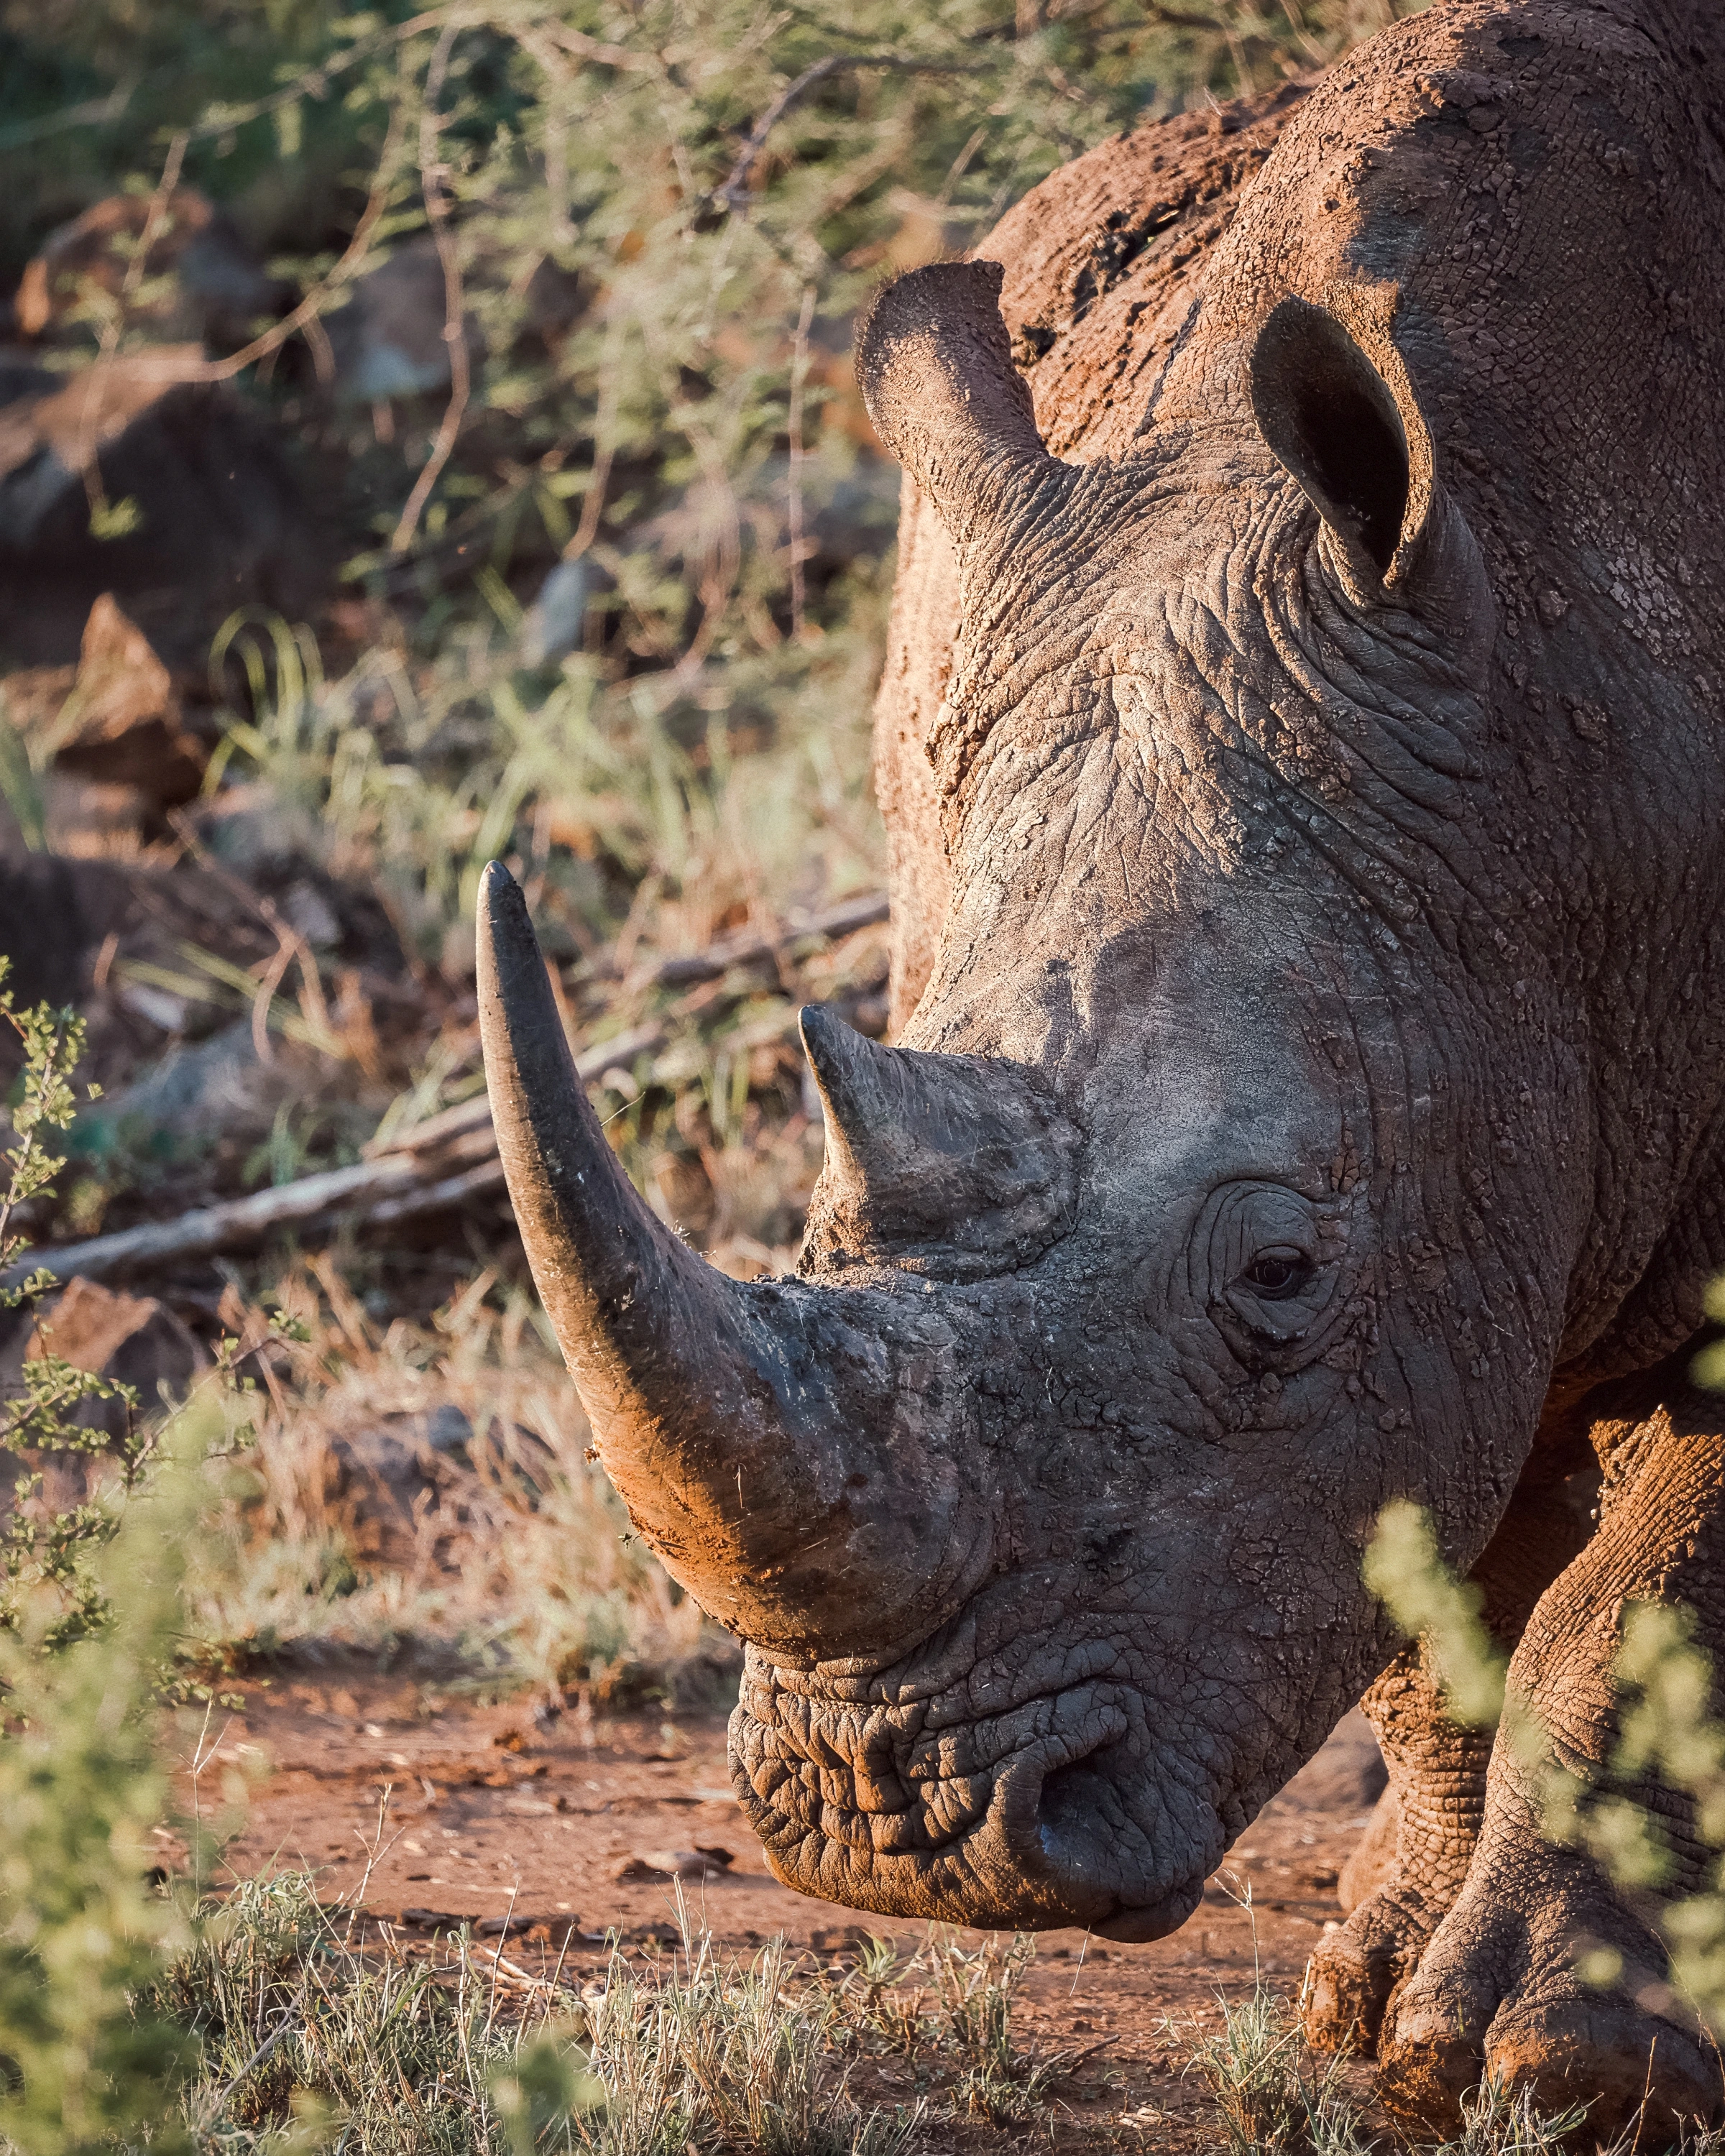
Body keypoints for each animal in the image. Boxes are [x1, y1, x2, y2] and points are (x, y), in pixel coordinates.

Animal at [477, 0, 1725, 2137]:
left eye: (1278, 1272)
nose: (894, 1819)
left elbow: (1642, 1590)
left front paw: (1557, 2078)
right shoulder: (1475, 1106)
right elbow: (1422, 1556)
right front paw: (1370, 2011)